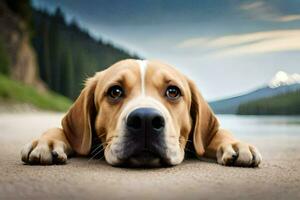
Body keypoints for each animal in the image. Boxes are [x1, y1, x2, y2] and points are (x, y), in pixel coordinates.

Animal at [21, 59, 262, 167]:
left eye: (173, 91)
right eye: (115, 91)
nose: (146, 119)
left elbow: (218, 133)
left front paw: (236, 144)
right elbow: (56, 129)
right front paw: (46, 142)